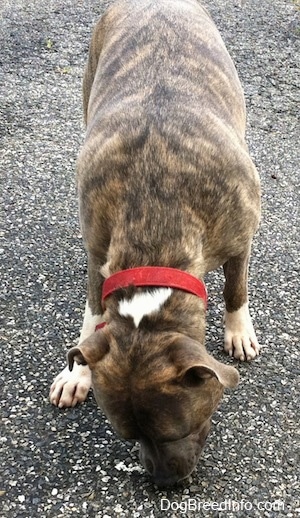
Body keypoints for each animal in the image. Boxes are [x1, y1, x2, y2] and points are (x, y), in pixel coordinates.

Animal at [49, 0, 260, 488]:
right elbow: (93, 313)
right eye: (129, 436)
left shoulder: (241, 233)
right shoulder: (98, 254)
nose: (162, 483)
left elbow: (235, 287)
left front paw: (239, 330)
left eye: (180, 429)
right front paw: (78, 371)